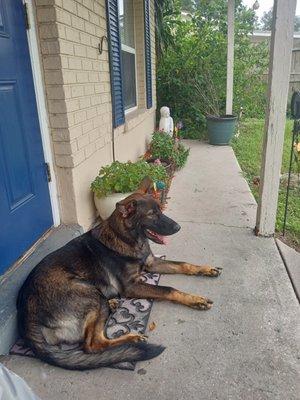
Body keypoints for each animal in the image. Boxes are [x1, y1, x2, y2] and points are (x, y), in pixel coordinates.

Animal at [17, 180, 221, 370]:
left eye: (160, 209)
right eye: (151, 214)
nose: (178, 227)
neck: (125, 238)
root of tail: (26, 315)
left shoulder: (152, 263)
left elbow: (184, 264)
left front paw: (206, 269)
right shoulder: (132, 286)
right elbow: (168, 288)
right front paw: (196, 300)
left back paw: (114, 304)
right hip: (89, 292)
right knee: (92, 345)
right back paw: (131, 338)